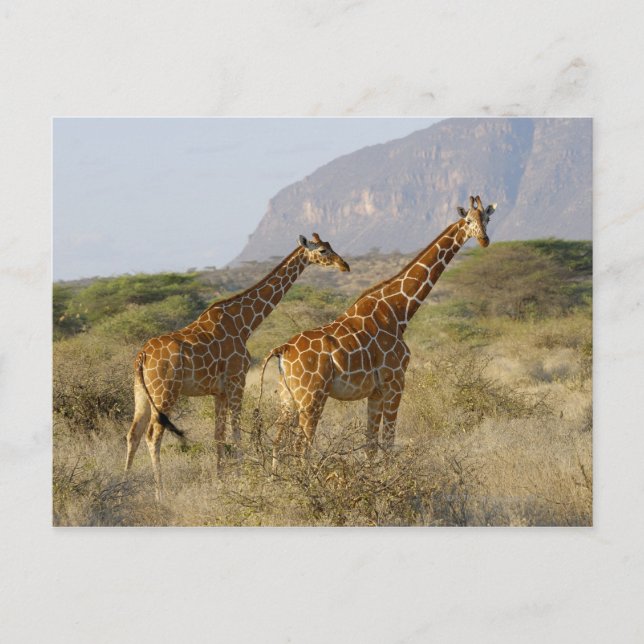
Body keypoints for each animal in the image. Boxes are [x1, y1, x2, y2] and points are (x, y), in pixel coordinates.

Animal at [125, 233, 350, 499]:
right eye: (324, 251)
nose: (344, 265)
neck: (245, 324)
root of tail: (142, 355)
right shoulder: (236, 381)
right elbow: (236, 431)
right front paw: (242, 478)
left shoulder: (219, 391)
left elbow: (219, 434)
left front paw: (220, 479)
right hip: (165, 391)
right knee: (152, 434)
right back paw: (160, 494)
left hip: (141, 392)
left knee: (133, 433)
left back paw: (122, 486)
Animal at [260, 196, 496, 472]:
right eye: (468, 220)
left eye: (486, 218)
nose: (484, 240)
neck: (398, 311)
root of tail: (282, 350)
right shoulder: (395, 382)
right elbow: (389, 442)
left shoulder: (375, 391)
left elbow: (371, 446)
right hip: (311, 397)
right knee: (301, 446)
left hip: (288, 398)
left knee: (277, 442)